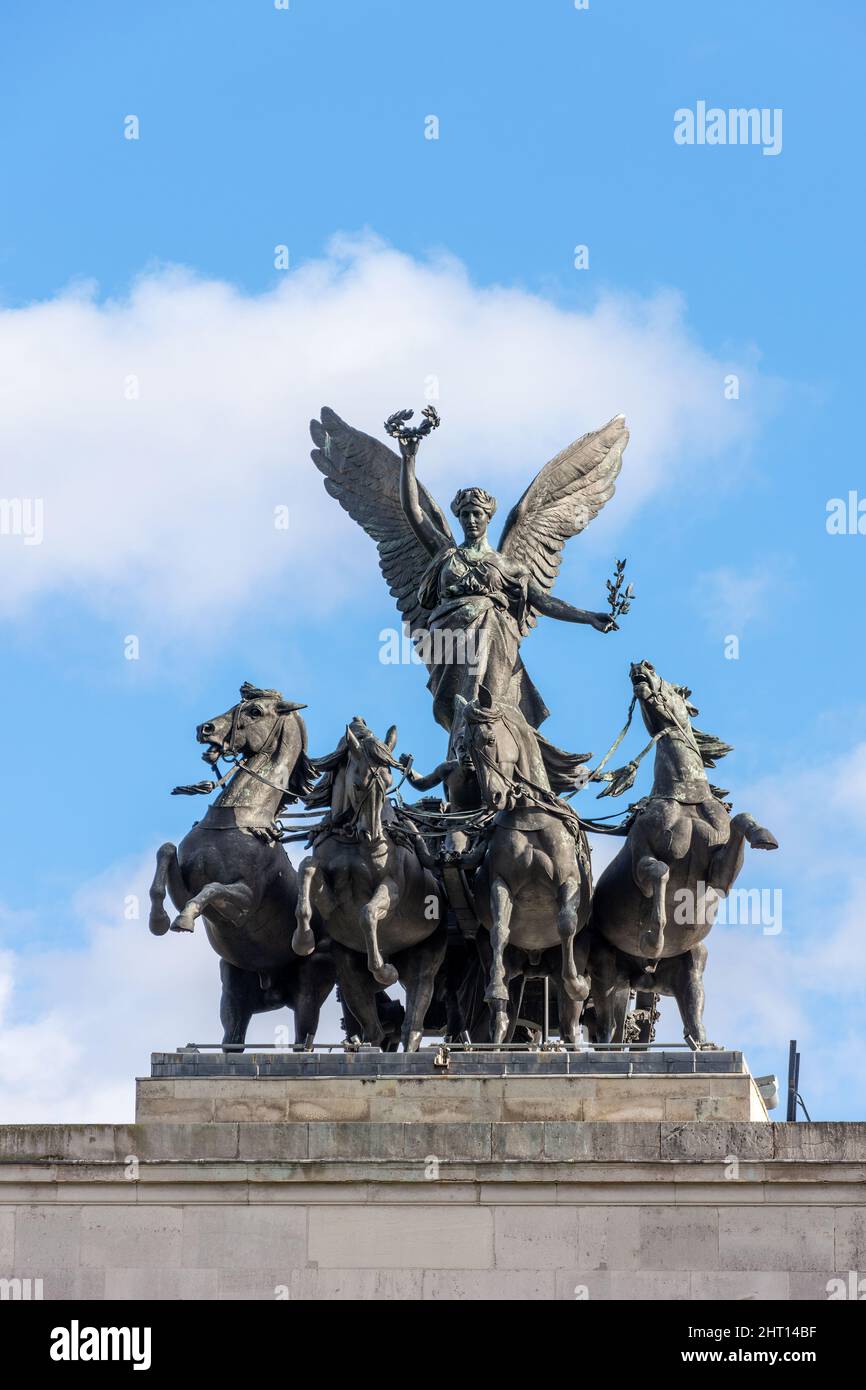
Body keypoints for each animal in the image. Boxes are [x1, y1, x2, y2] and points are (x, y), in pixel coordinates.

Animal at [147, 678, 337, 1045]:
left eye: (254, 711)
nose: (204, 729)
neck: (243, 819)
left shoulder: (243, 905)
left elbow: (211, 889)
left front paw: (184, 920)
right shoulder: (183, 885)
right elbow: (165, 853)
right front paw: (159, 920)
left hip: (309, 993)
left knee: (304, 1039)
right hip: (234, 997)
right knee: (232, 1039)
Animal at [458, 683, 592, 1045]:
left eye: (489, 739)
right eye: (466, 749)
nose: (494, 799)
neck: (528, 815)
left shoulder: (568, 882)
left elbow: (566, 923)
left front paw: (576, 983)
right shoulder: (501, 883)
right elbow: (500, 931)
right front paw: (494, 989)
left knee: (571, 1024)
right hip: (515, 971)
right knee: (502, 1017)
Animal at [589, 658, 778, 1045]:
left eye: (678, 690)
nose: (641, 666)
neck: (685, 800)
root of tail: (643, 976)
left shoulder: (720, 877)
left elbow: (741, 819)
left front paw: (764, 836)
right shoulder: (641, 859)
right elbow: (660, 871)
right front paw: (652, 936)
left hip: (688, 965)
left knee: (691, 1001)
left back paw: (703, 1041)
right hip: (606, 973)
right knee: (607, 1027)